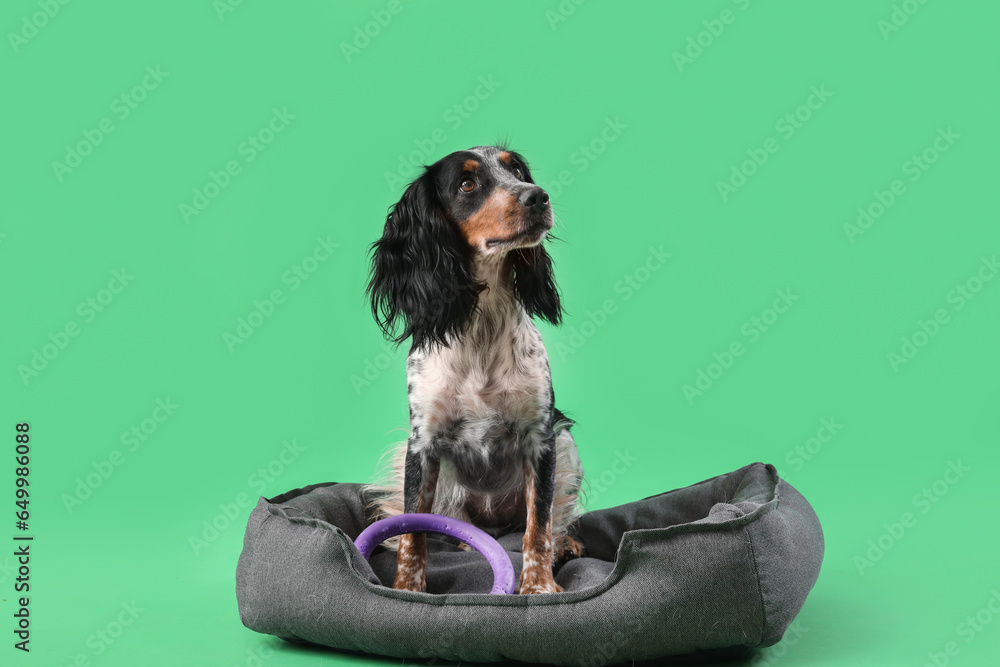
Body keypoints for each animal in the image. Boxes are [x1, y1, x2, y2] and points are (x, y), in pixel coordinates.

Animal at [366, 146, 584, 596]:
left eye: (516, 170)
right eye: (467, 184)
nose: (538, 196)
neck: (482, 323)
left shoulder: (541, 438)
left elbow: (538, 527)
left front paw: (539, 588)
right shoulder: (422, 444)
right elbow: (412, 533)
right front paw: (407, 589)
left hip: (566, 443)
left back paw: (565, 544)